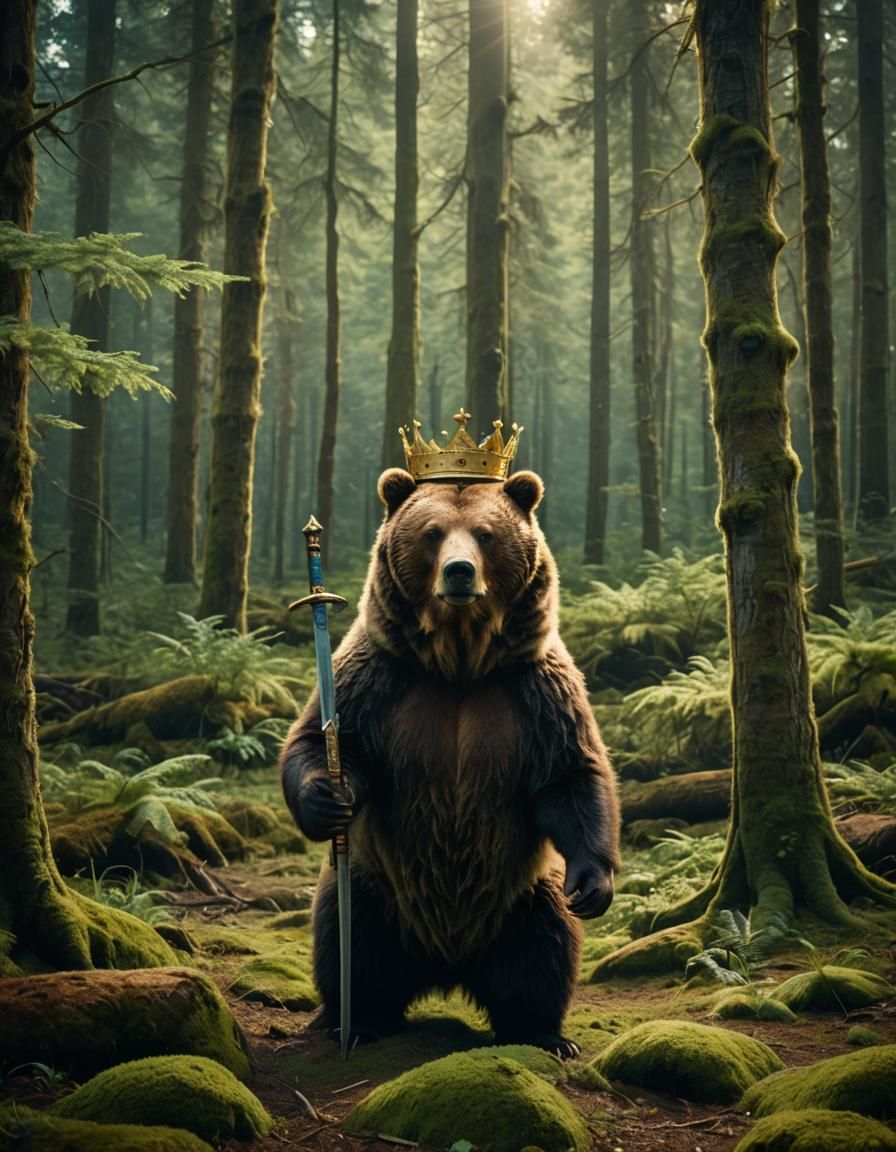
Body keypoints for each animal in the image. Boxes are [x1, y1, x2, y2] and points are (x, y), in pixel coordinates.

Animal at [281, 468, 620, 1058]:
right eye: (432, 532)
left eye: (485, 534)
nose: (459, 571)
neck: (460, 662)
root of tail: (448, 965)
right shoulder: (377, 676)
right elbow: (320, 741)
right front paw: (326, 796)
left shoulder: (534, 688)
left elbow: (570, 774)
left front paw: (594, 883)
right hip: (377, 886)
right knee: (352, 944)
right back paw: (355, 1020)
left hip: (521, 895)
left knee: (544, 950)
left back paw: (543, 1032)